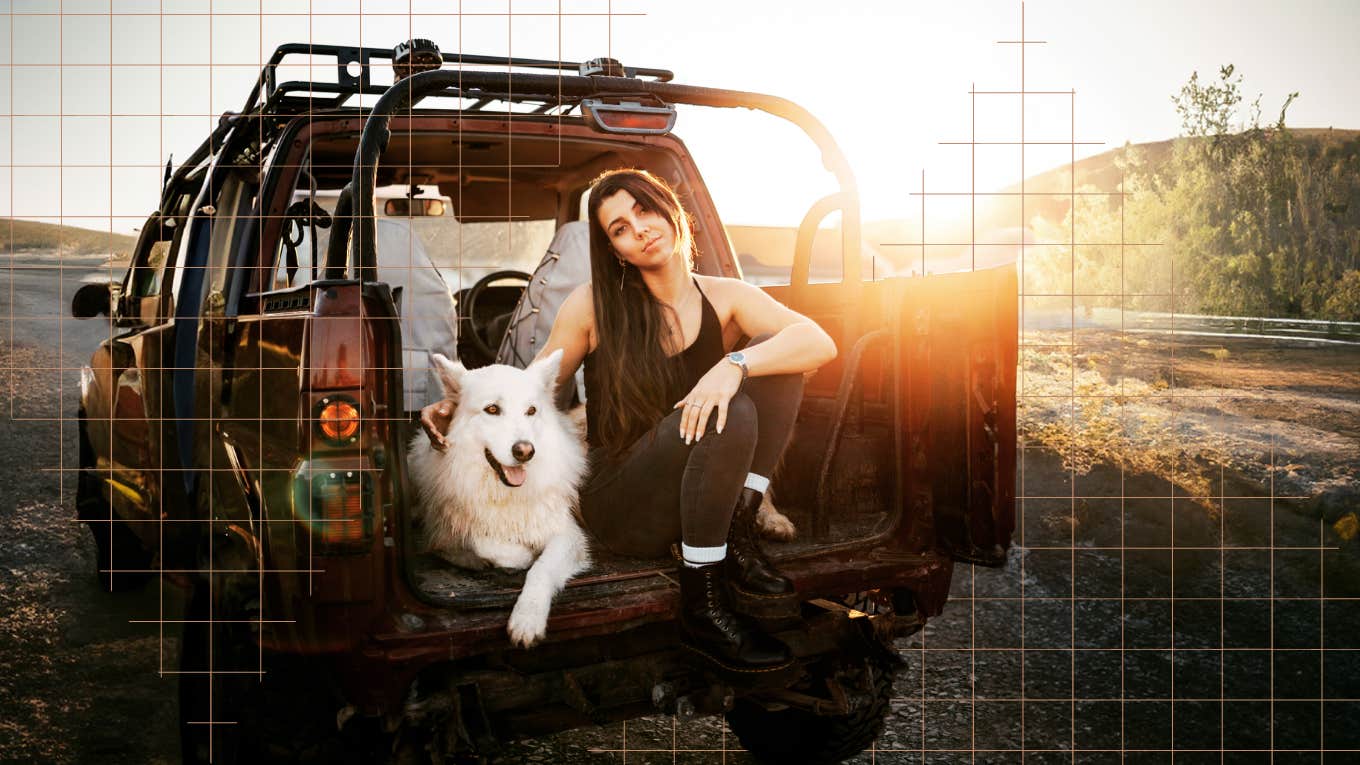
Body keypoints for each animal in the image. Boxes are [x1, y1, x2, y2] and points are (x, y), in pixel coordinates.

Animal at [408, 348, 590, 645]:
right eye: (492, 409)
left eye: (531, 411)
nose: (525, 451)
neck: (502, 493)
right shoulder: (441, 534)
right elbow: (486, 543)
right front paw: (516, 556)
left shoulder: (568, 536)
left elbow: (542, 568)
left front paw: (527, 619)